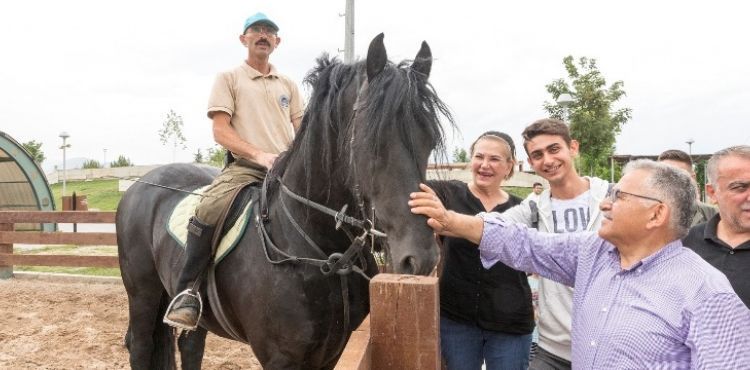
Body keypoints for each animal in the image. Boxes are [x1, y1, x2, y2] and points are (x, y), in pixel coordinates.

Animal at [117, 33, 452, 368]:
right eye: (372, 141)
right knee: (141, 345)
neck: (319, 250)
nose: (420, 258)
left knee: (190, 345)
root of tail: (140, 185)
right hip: (143, 294)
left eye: (429, 139)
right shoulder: (281, 356)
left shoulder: (332, 351)